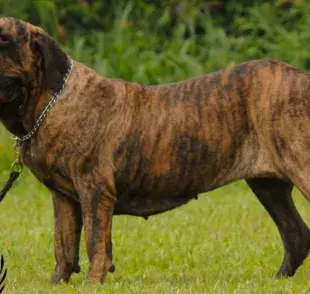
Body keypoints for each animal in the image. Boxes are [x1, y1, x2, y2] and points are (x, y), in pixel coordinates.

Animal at [0, 17, 310, 284]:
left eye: (3, 38)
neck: (49, 101)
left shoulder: (95, 189)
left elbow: (95, 241)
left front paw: (93, 282)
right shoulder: (63, 198)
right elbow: (63, 245)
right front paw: (57, 283)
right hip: (268, 186)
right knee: (295, 233)